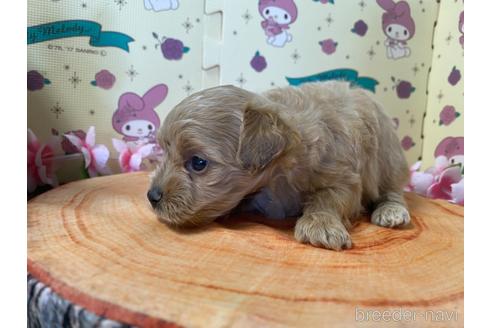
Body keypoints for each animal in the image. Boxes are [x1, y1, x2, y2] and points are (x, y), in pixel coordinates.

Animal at [148, 81, 410, 249]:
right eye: (164, 150)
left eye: (198, 163)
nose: (152, 196)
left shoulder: (344, 176)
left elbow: (329, 197)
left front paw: (320, 225)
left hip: (387, 158)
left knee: (392, 189)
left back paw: (391, 211)